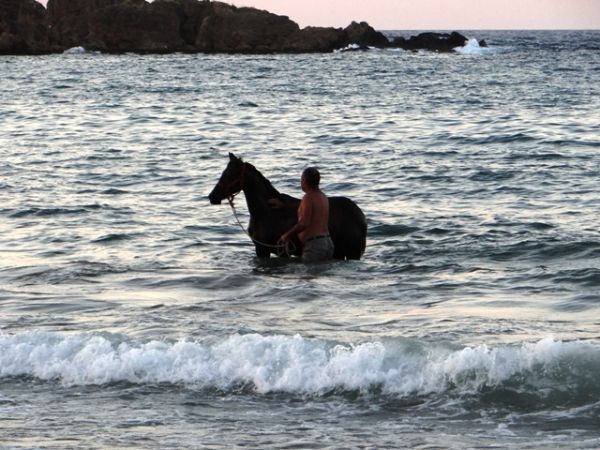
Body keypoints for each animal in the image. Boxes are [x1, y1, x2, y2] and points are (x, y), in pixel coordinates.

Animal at [209, 154, 366, 258]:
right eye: (224, 173)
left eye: (230, 174)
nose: (211, 197)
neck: (265, 212)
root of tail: (360, 215)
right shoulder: (261, 249)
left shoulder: (278, 251)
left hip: (352, 252)